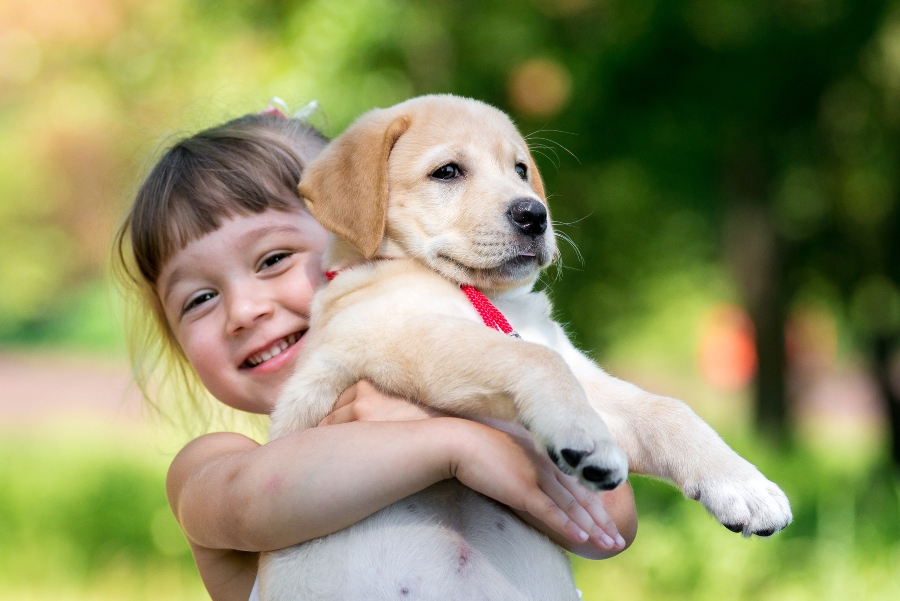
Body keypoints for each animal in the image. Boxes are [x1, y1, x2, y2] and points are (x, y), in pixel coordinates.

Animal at [256, 96, 792, 596]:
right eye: (447, 172)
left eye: (519, 169)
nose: (535, 215)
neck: (490, 300)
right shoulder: (400, 334)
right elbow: (535, 357)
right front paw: (590, 440)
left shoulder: (585, 379)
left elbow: (667, 410)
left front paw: (744, 484)